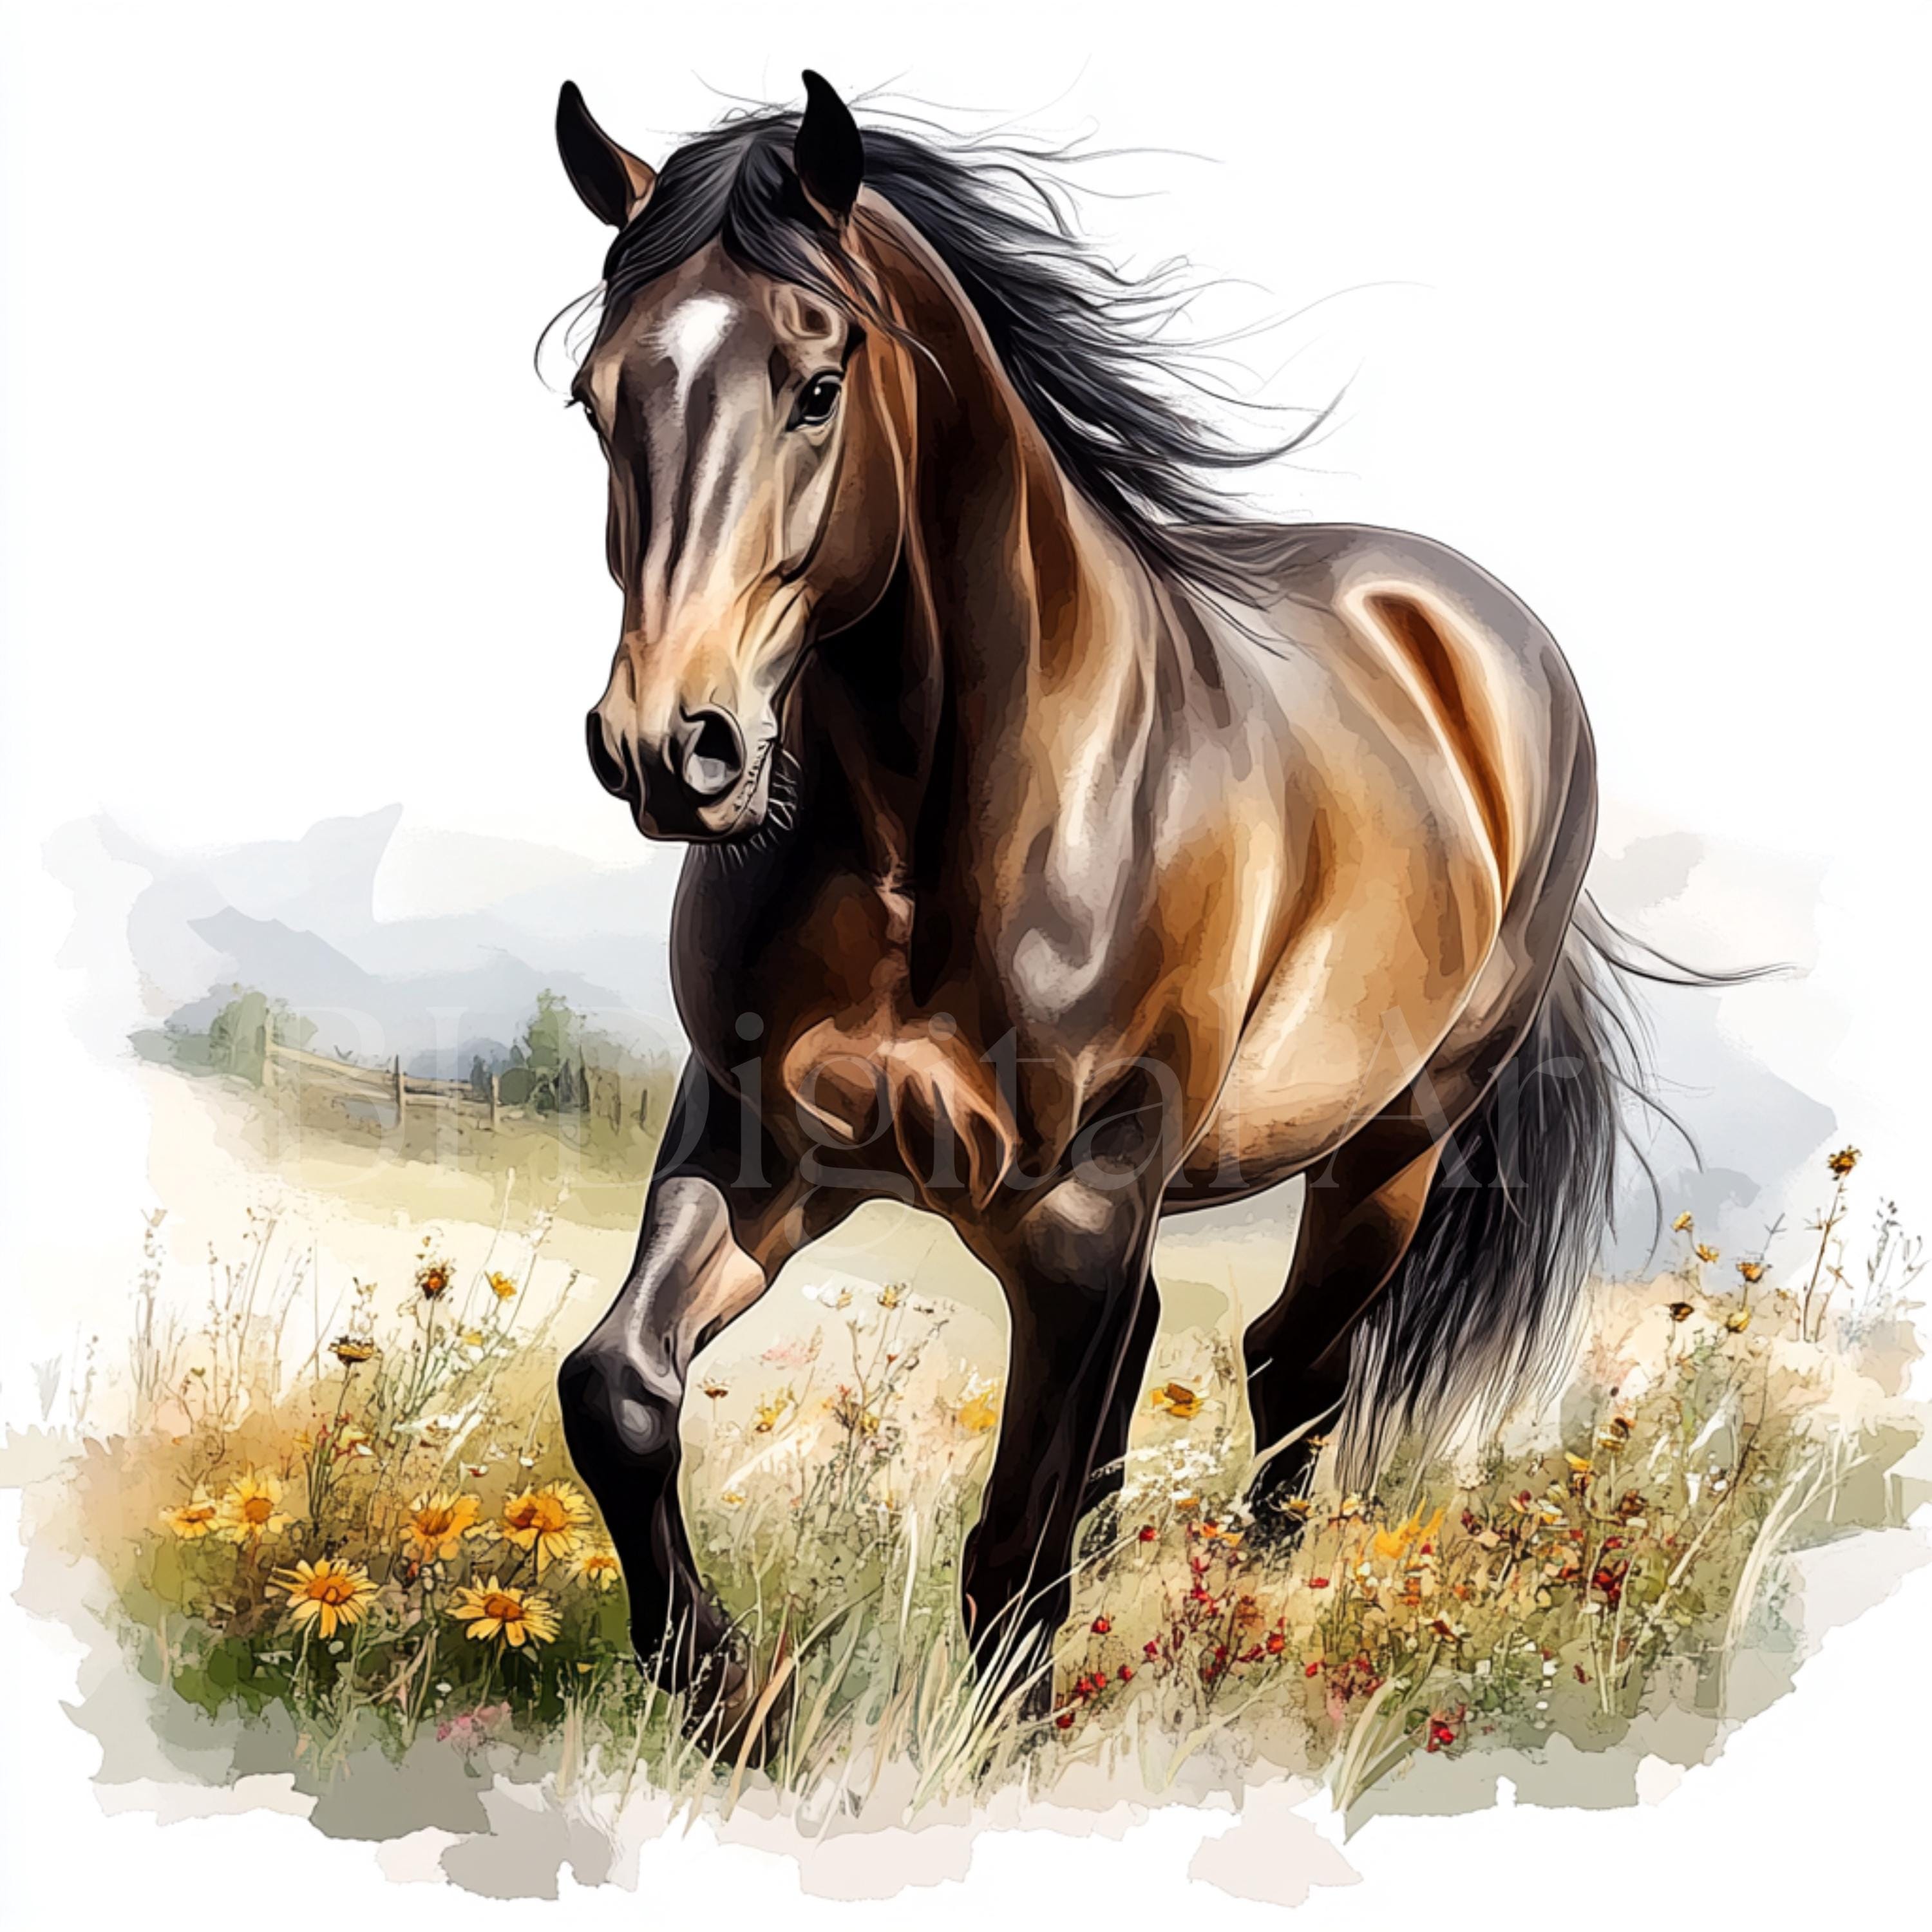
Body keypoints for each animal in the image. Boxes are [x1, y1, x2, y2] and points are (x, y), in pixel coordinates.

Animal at [550, 71, 1658, 1702]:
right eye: (596, 395)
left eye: (815, 384)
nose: (670, 747)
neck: (936, 826)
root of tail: (1481, 630)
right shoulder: (761, 1139)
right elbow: (615, 1388)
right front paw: (729, 1694)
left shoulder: (1076, 1207)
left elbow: (1013, 1557)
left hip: (1390, 1145)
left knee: (1293, 1367)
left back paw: (1244, 1624)